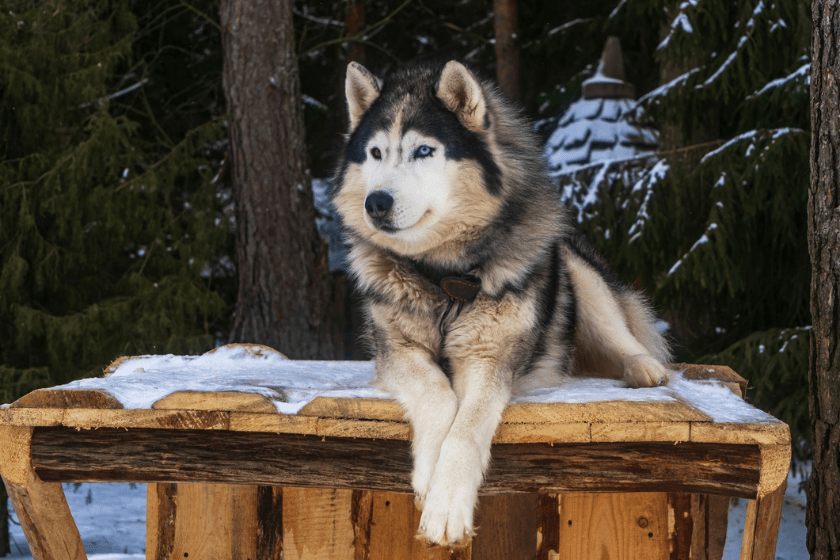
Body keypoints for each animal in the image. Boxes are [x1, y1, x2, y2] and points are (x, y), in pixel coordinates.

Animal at [328, 60, 668, 548]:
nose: (376, 203)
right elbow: (438, 395)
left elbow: (467, 428)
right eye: (375, 153)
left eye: (424, 151)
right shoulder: (396, 351)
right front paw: (429, 474)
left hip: (577, 272)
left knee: (621, 334)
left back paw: (643, 367)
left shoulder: (491, 359)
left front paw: (446, 505)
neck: (443, 279)